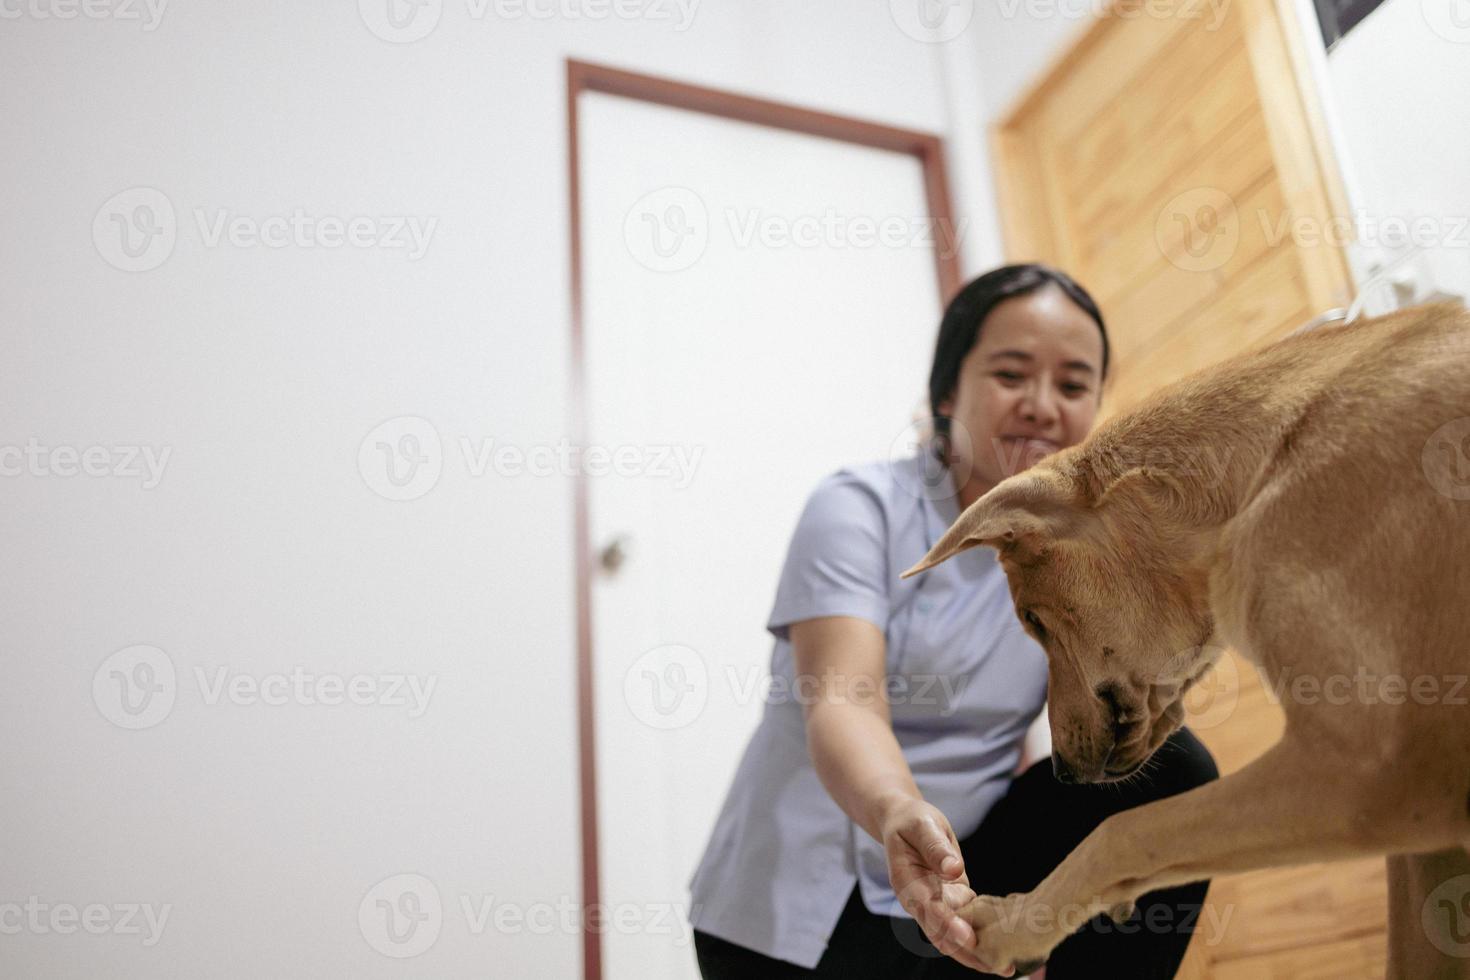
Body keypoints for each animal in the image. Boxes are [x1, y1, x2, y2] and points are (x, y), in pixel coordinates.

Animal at [899, 302, 1470, 975]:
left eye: (1033, 622)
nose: (1060, 772)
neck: (1273, 458)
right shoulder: (1423, 845)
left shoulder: (1374, 771)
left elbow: (1122, 833)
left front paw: (1010, 926)